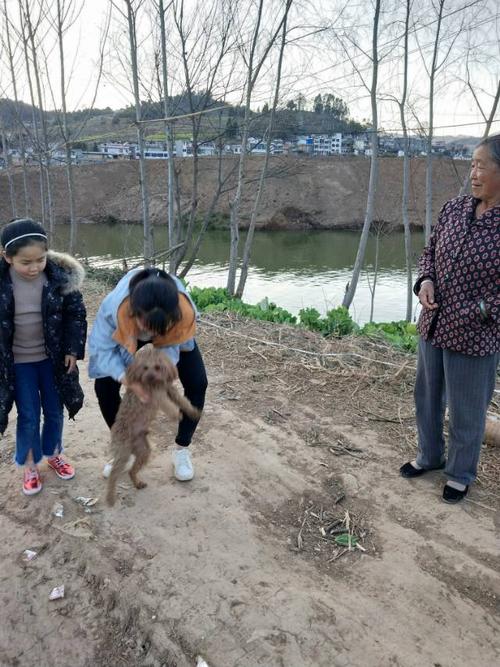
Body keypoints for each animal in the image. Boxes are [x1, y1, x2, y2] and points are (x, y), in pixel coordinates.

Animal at [106, 344, 200, 506]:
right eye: (145, 368)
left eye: (157, 367)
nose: (150, 376)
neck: (155, 382)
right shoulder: (157, 396)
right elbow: (169, 406)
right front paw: (177, 415)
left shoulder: (169, 389)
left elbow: (183, 401)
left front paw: (193, 412)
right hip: (123, 452)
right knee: (114, 474)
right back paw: (110, 497)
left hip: (143, 451)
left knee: (131, 470)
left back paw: (138, 483)